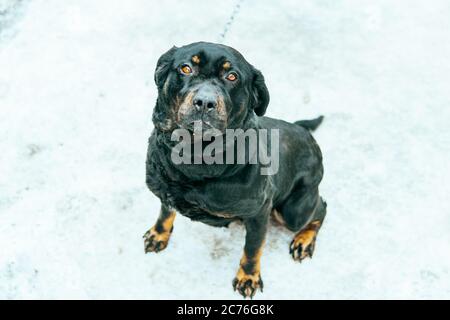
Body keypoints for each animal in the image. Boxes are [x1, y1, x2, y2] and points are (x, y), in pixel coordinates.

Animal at [146, 42, 326, 298]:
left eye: (232, 76)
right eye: (186, 68)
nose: (205, 102)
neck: (195, 157)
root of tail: (306, 134)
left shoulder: (260, 212)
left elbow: (252, 250)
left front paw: (248, 277)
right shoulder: (165, 190)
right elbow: (165, 211)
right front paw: (159, 233)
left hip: (292, 210)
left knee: (321, 208)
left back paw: (304, 240)